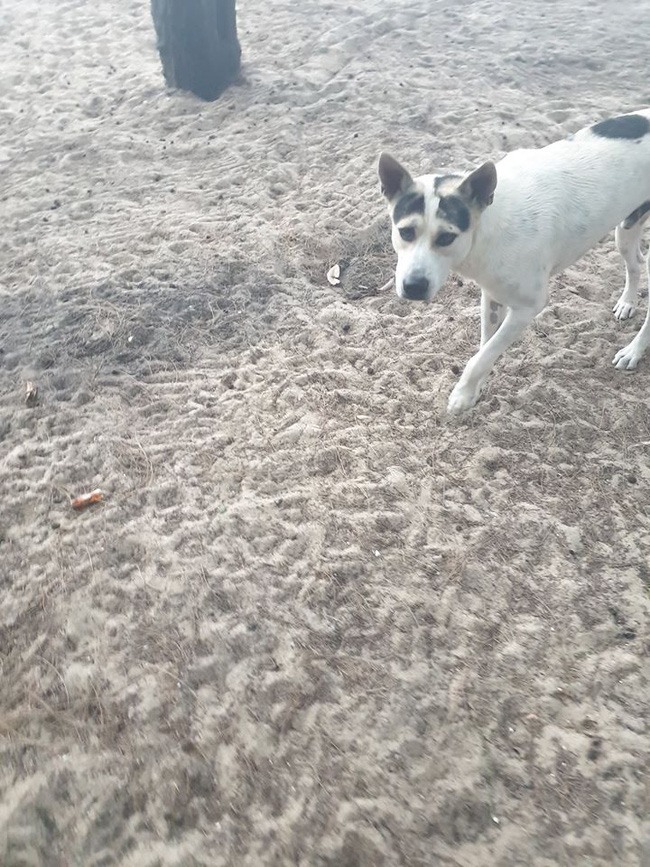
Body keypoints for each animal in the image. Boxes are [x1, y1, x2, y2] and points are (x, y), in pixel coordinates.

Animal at [374, 110, 648, 416]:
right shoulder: (492, 294)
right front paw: (473, 391)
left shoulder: (528, 307)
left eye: (446, 237)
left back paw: (633, 351)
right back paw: (627, 303)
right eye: (406, 232)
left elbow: (482, 357)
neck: (486, 227)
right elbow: (485, 348)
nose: (413, 287)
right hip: (626, 228)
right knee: (636, 262)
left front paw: (461, 395)